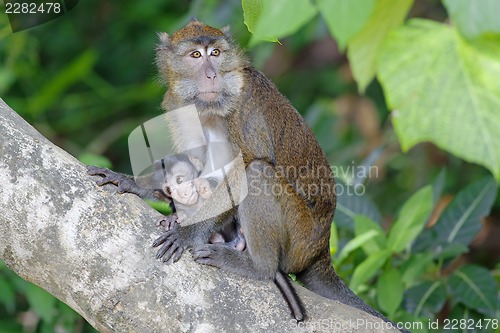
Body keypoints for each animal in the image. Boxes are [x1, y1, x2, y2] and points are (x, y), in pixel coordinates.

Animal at [88, 19, 404, 328]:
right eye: (196, 55)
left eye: (215, 53)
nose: (212, 75)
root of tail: (320, 252)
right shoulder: (177, 105)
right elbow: (191, 164)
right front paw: (137, 185)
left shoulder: (244, 105)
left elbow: (243, 169)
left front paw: (188, 233)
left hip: (299, 238)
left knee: (258, 173)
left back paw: (258, 267)